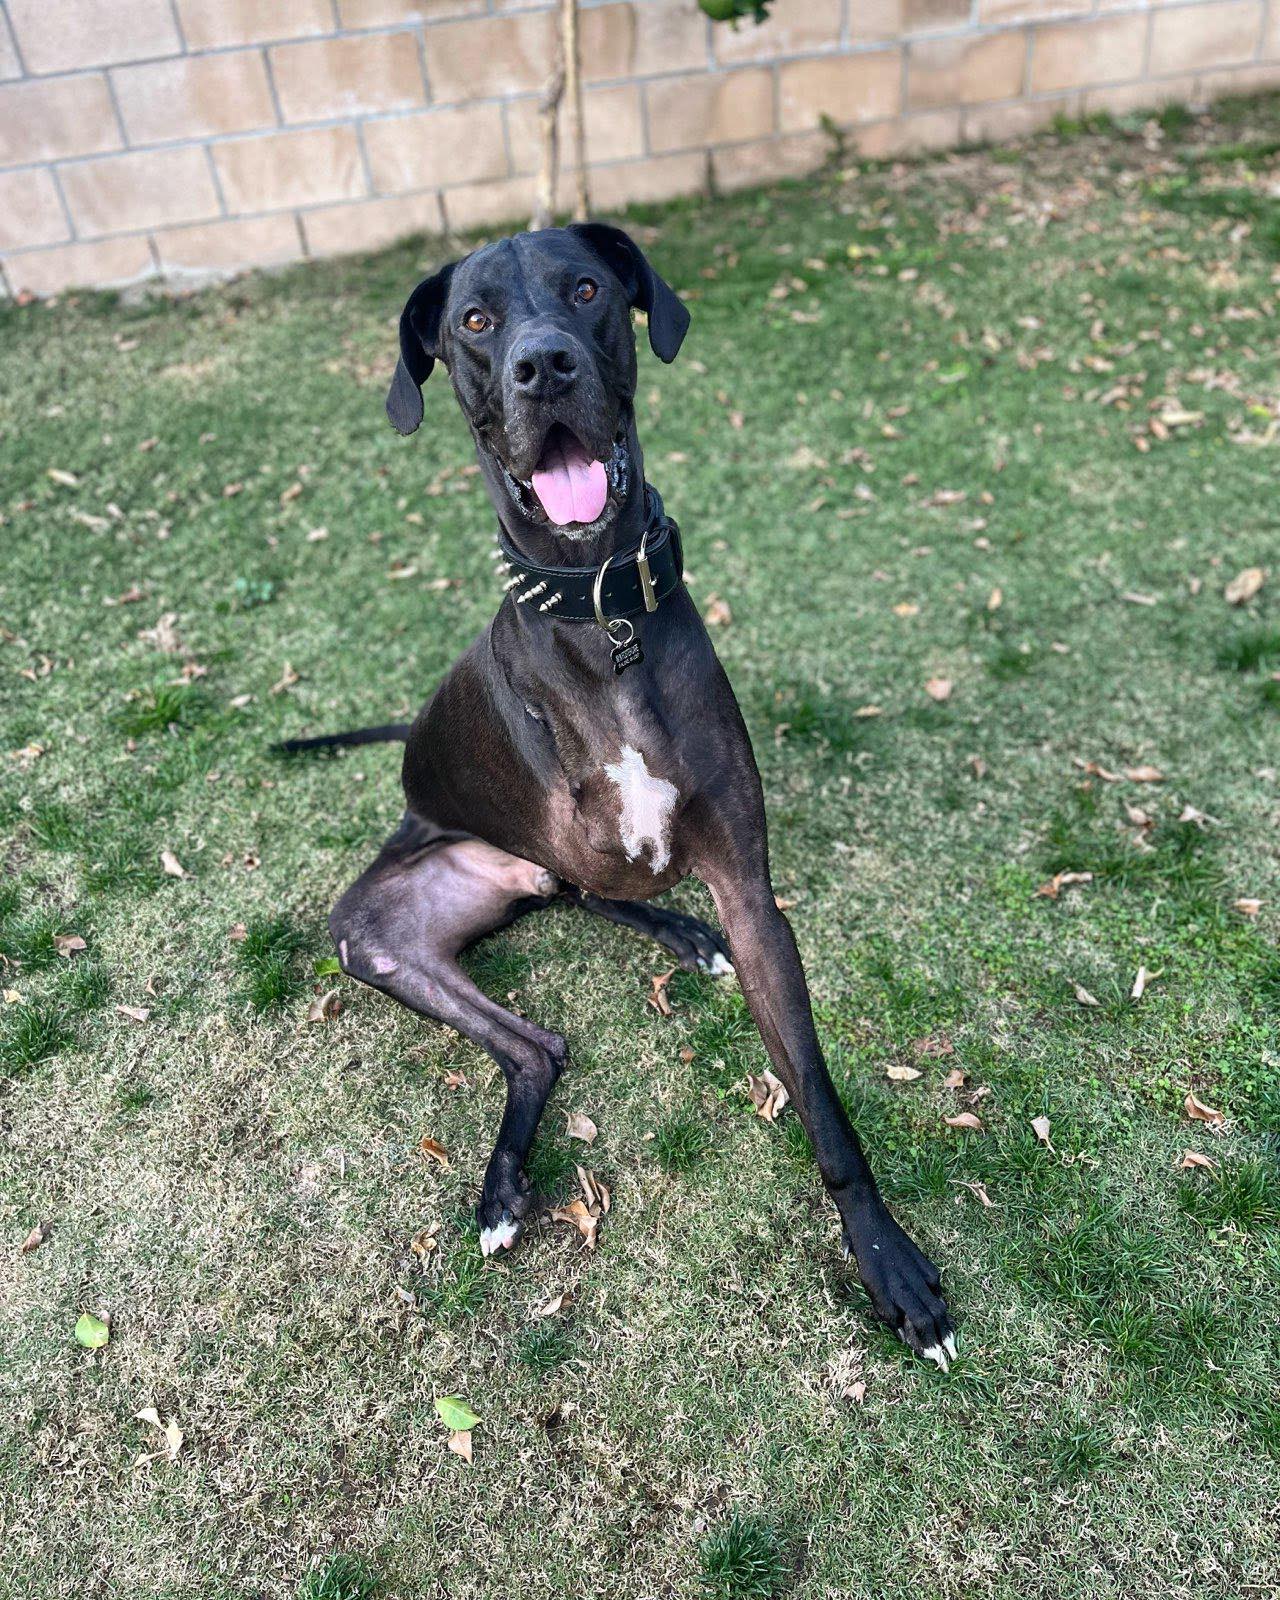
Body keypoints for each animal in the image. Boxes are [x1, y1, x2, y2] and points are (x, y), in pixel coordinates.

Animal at [283, 223, 956, 1368]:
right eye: (474, 320)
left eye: (587, 290)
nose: (543, 365)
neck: (601, 609)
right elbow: (609, 858)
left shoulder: (749, 891)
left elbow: (821, 1105)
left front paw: (889, 1263)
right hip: (370, 930)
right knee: (542, 1016)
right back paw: (502, 1188)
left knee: (554, 1003)